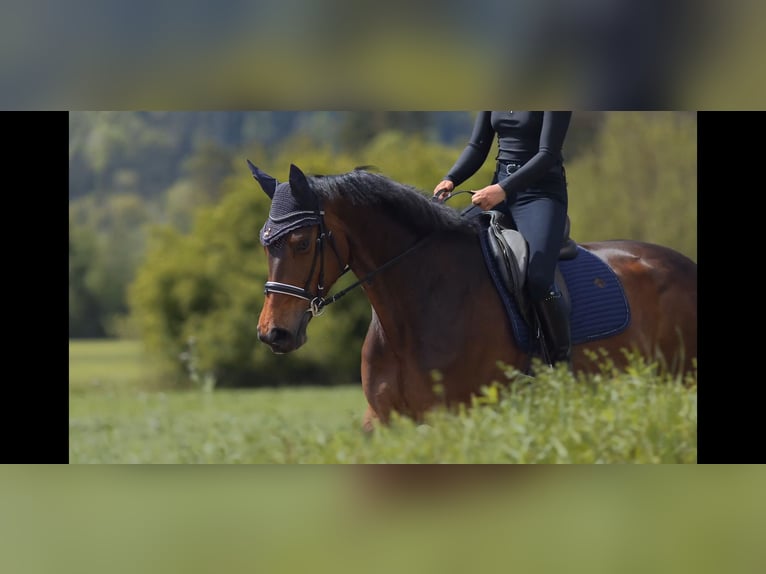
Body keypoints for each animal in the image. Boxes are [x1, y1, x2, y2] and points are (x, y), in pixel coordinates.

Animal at [248, 162, 697, 432]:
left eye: (302, 243)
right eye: (265, 244)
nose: (274, 334)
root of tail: (685, 265)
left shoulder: (455, 416)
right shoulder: (383, 420)